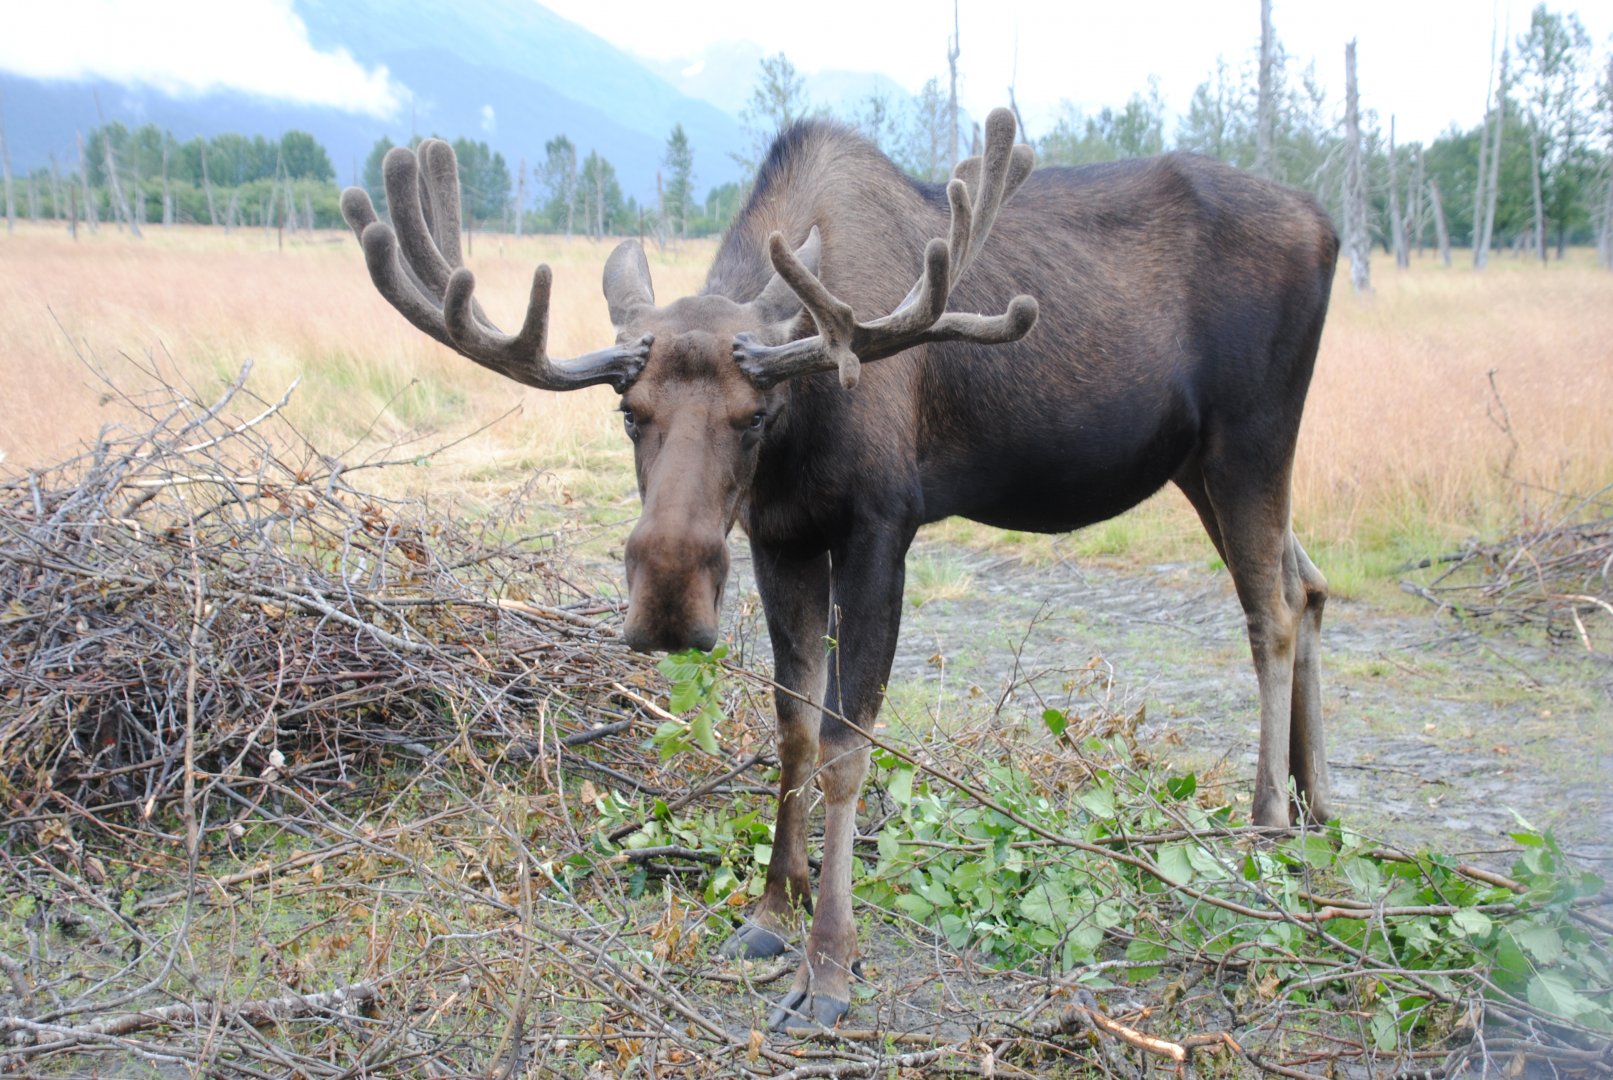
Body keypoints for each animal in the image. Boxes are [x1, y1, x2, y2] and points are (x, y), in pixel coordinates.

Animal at [339, 108, 1339, 1030]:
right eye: (628, 411)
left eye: (754, 413)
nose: (666, 600)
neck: (801, 427)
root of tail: (1326, 224)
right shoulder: (779, 535)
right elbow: (790, 725)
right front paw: (768, 914)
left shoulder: (879, 529)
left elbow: (846, 749)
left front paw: (828, 965)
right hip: (1195, 457)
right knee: (1309, 584)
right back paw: (1316, 809)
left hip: (1252, 435)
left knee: (1270, 611)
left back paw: (1267, 826)